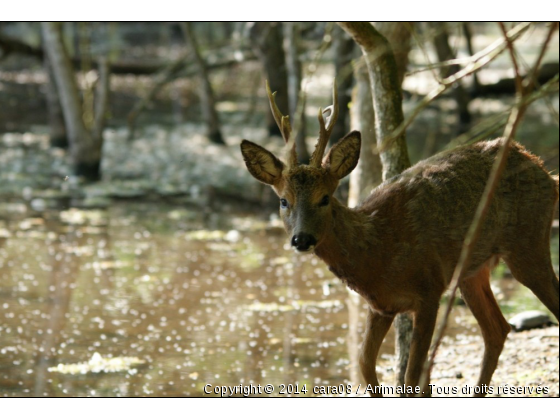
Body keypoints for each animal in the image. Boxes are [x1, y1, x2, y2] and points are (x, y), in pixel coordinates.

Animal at [241, 82, 560, 398]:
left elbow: (412, 377)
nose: (302, 239)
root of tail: (545, 170)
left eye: (325, 198)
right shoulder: (381, 306)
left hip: (528, 241)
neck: (376, 251)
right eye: (284, 201)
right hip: (472, 271)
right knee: (497, 329)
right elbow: (365, 364)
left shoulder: (429, 289)